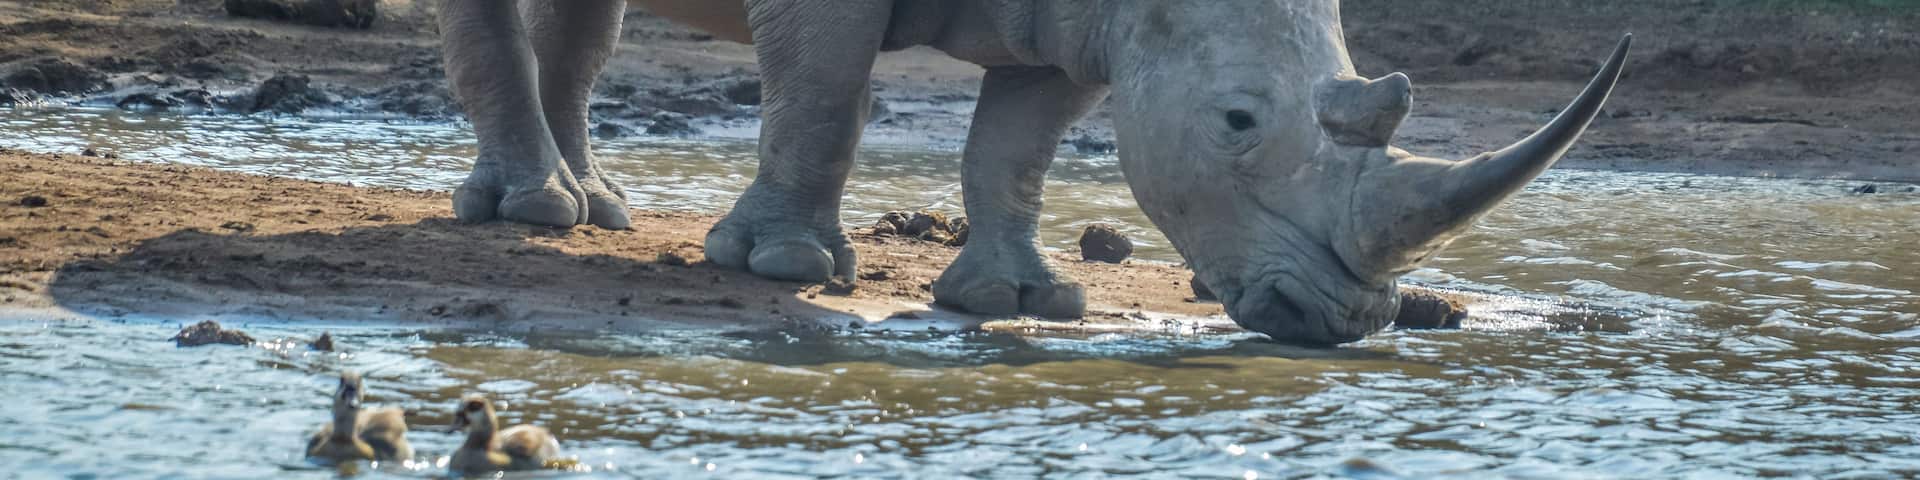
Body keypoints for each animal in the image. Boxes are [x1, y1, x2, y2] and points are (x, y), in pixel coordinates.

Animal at [437, 0, 1630, 344]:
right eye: (1237, 121)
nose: (1340, 324)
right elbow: (824, 90)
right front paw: (785, 271)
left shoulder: (1067, 32)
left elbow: (1014, 146)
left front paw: (1024, 300)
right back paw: (537, 213)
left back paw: (592, 213)